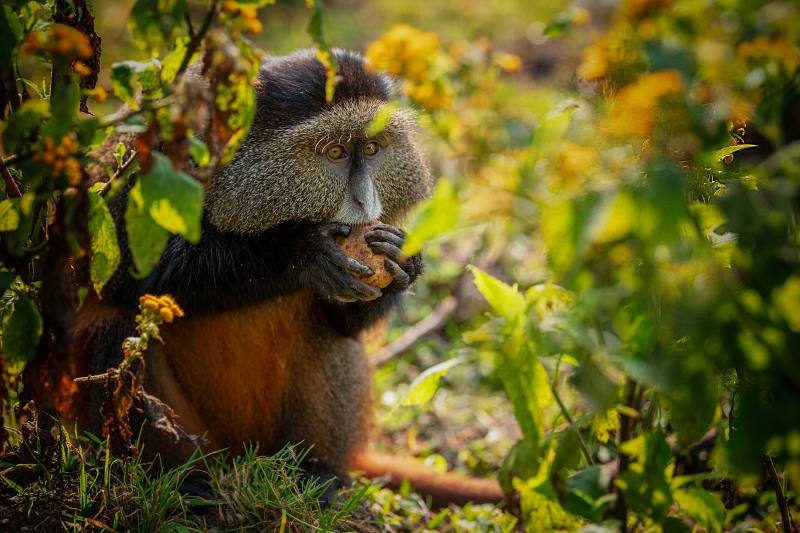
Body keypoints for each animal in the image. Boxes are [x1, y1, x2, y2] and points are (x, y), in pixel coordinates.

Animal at [69, 49, 504, 507]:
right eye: (334, 152)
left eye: (371, 148)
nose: (365, 200)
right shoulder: (143, 164)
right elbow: (124, 270)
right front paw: (300, 254)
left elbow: (343, 325)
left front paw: (404, 262)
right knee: (122, 330)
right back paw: (182, 481)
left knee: (328, 341)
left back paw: (318, 474)